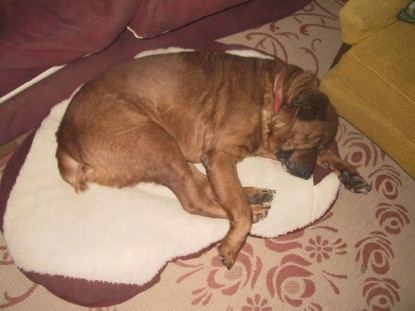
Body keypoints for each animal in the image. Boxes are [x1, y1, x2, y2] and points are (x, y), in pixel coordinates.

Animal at [55, 50, 370, 268]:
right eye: (316, 140)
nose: (306, 176)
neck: (277, 94)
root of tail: (64, 143)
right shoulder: (221, 155)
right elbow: (238, 214)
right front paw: (232, 245)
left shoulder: (254, 147)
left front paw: (350, 173)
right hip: (156, 141)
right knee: (196, 202)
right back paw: (253, 208)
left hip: (171, 150)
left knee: (209, 189)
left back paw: (253, 194)